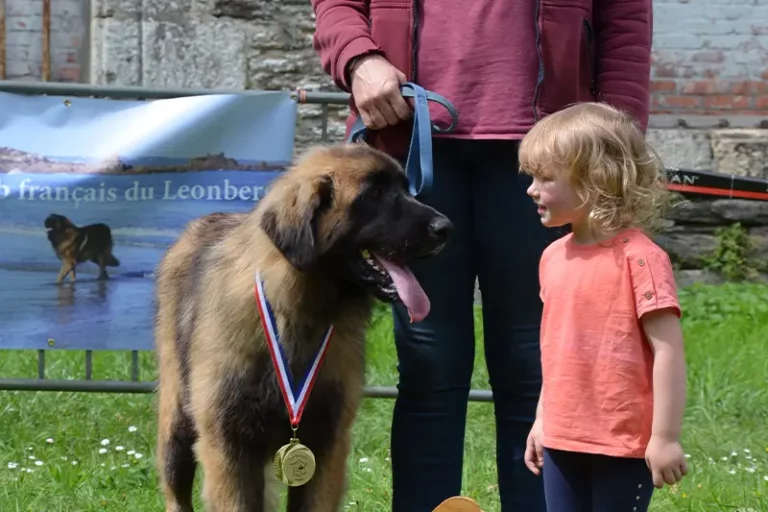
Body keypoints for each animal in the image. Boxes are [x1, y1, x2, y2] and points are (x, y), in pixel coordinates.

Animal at [155, 144, 452, 512]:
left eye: (405, 188)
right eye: (375, 194)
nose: (446, 227)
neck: (296, 313)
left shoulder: (326, 443)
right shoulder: (228, 445)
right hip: (177, 428)